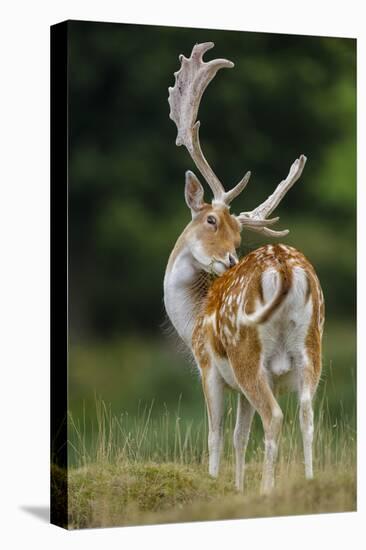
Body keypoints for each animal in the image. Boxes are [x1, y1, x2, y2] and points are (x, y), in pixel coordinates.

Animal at [164, 43, 324, 496]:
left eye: (236, 233)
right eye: (213, 222)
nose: (231, 260)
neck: (192, 318)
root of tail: (286, 270)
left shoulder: (209, 367)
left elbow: (217, 434)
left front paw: (215, 482)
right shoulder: (237, 386)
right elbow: (239, 436)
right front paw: (235, 489)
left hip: (248, 354)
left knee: (276, 418)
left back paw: (269, 490)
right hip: (312, 350)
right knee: (307, 416)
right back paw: (309, 481)